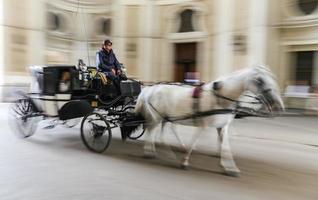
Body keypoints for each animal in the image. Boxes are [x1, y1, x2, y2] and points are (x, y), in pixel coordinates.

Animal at [130, 65, 284, 177]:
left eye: (272, 78)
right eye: (260, 80)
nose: (278, 105)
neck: (221, 98)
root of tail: (149, 89)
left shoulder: (222, 127)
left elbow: (225, 147)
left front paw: (229, 168)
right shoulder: (203, 125)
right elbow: (194, 143)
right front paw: (185, 162)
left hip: (165, 117)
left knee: (158, 131)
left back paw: (158, 150)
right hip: (157, 117)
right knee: (152, 130)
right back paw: (152, 151)